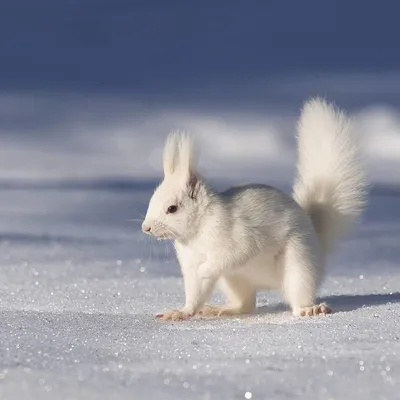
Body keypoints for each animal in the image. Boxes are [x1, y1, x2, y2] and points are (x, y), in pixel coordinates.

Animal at [141, 98, 366, 320]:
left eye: (172, 208)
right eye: (151, 202)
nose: (146, 228)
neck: (197, 232)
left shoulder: (239, 234)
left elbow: (236, 254)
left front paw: (205, 269)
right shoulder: (190, 261)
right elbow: (195, 291)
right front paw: (181, 312)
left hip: (299, 262)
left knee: (298, 293)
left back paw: (309, 309)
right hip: (232, 280)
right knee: (246, 303)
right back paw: (223, 309)